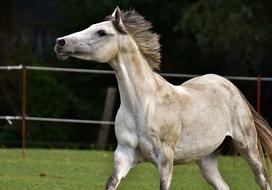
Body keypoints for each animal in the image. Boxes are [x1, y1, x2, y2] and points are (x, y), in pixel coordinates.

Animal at [54, 7, 272, 190]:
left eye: (101, 32)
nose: (60, 43)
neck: (144, 105)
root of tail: (229, 86)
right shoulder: (124, 155)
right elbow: (111, 183)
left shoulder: (165, 159)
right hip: (206, 159)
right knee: (223, 186)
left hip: (247, 147)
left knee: (263, 180)